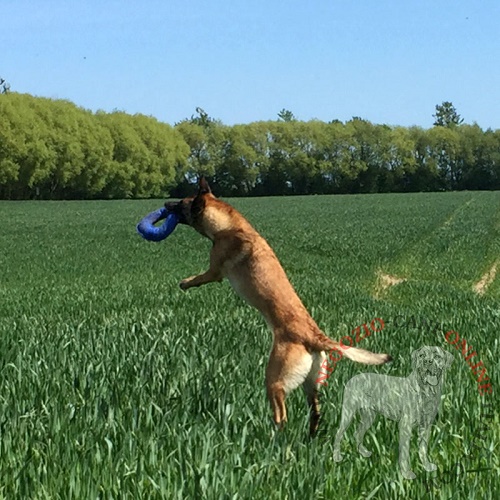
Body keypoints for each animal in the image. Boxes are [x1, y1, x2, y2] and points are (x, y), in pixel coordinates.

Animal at [166, 178, 392, 436]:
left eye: (181, 203)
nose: (165, 204)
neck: (229, 225)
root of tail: (315, 338)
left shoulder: (214, 270)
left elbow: (200, 277)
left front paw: (185, 283)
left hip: (274, 377)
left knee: (281, 414)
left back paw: (274, 437)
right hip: (311, 382)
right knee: (315, 411)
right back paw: (309, 437)